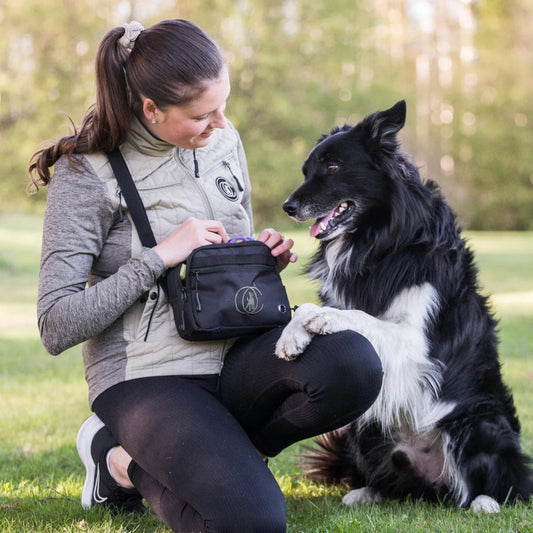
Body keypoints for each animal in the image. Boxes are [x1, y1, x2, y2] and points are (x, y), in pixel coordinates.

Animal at [276, 100, 528, 512]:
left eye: (333, 167)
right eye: (306, 170)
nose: (288, 207)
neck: (380, 242)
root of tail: (433, 485)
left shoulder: (415, 343)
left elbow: (354, 315)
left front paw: (321, 320)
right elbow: (311, 310)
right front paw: (291, 336)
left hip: (480, 421)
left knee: (504, 485)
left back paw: (485, 502)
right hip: (363, 428)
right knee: (392, 482)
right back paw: (366, 492)